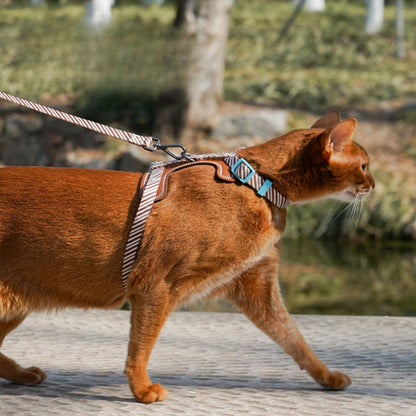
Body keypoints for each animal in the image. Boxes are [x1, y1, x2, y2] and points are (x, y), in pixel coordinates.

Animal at [0, 110, 376, 404]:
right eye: (364, 166)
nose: (374, 185)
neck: (259, 182)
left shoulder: (256, 288)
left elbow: (296, 340)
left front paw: (328, 377)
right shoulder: (157, 285)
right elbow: (141, 343)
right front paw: (142, 389)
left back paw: (23, 374)